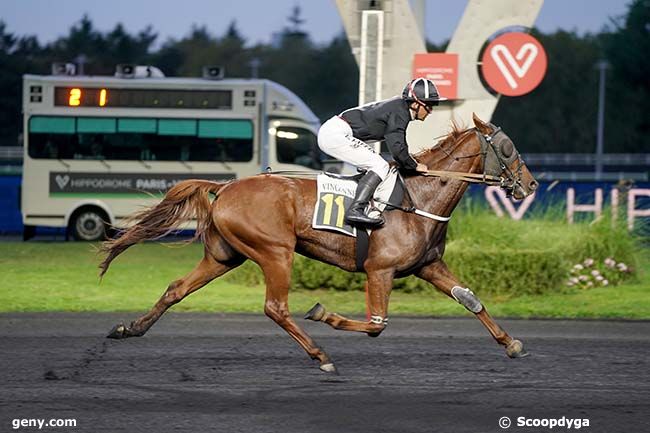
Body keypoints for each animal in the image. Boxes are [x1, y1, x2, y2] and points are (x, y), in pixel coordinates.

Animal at [101, 114, 536, 372]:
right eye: (508, 148)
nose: (530, 185)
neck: (418, 199)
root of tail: (225, 187)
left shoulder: (428, 266)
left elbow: (470, 299)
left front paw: (512, 343)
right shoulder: (380, 270)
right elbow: (376, 326)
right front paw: (324, 313)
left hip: (226, 257)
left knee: (176, 289)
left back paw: (129, 328)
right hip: (275, 252)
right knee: (276, 308)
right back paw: (321, 355)